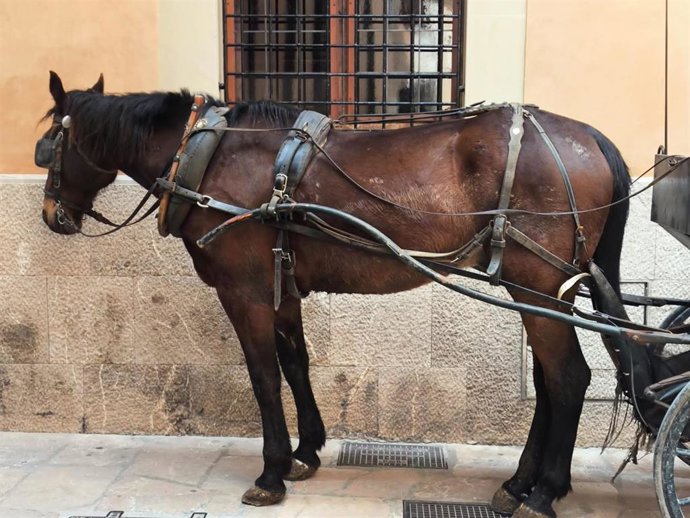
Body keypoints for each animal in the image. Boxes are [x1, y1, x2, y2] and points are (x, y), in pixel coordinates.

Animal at [37, 71, 630, 518]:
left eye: (49, 148)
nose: (51, 215)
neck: (207, 154)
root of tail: (589, 137)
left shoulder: (244, 291)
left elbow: (264, 377)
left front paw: (271, 471)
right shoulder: (283, 288)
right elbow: (296, 363)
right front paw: (305, 453)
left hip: (538, 287)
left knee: (567, 379)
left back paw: (543, 492)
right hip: (541, 291)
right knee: (548, 382)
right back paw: (519, 484)